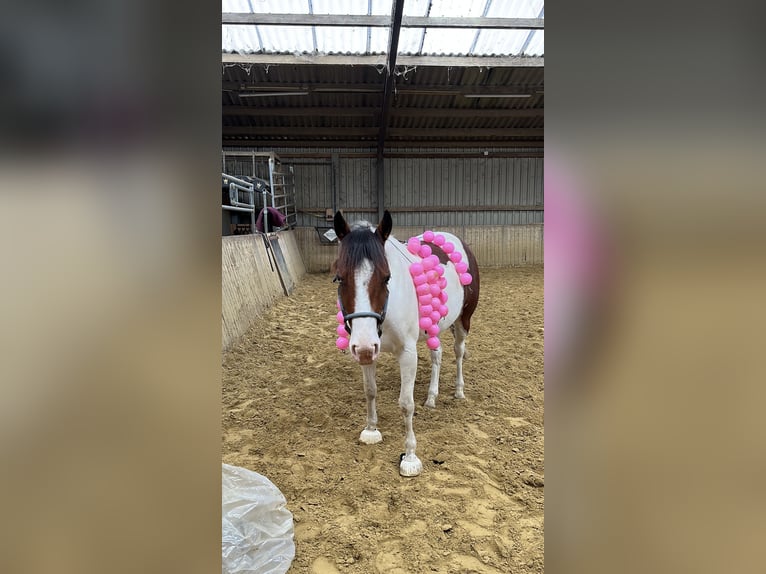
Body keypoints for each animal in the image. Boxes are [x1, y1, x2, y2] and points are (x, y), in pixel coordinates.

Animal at [332, 210, 480, 477]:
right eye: (340, 278)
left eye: (386, 277)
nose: (364, 345)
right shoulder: (368, 350)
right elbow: (370, 391)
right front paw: (371, 430)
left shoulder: (407, 353)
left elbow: (406, 404)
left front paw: (410, 457)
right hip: (433, 328)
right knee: (437, 355)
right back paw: (431, 397)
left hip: (463, 321)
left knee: (458, 353)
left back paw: (458, 391)